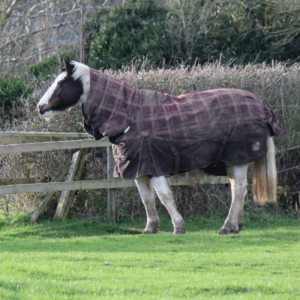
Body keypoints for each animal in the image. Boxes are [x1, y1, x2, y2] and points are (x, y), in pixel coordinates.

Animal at [37, 58, 284, 234]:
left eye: (61, 82)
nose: (40, 107)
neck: (129, 115)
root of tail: (262, 104)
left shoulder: (153, 165)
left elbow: (164, 196)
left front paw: (178, 226)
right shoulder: (137, 168)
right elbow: (147, 198)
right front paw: (150, 228)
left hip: (238, 158)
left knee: (239, 189)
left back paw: (227, 226)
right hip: (232, 160)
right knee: (236, 189)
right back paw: (235, 226)